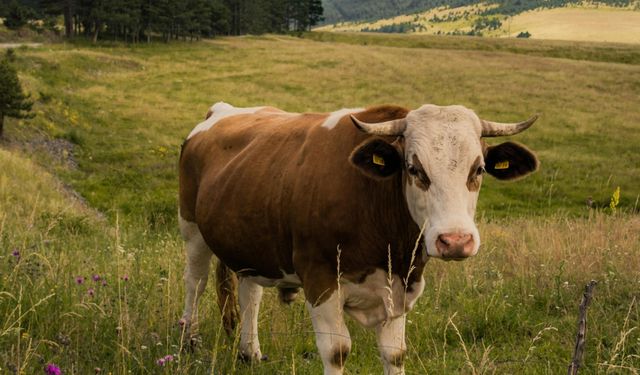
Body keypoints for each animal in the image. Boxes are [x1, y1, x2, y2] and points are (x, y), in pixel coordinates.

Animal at [178, 101, 536, 374]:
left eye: (478, 169)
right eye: (414, 169)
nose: (456, 240)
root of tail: (223, 111)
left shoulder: (399, 287)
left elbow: (395, 353)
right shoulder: (321, 280)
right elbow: (336, 350)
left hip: (251, 241)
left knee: (250, 293)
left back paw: (249, 352)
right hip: (192, 229)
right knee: (195, 282)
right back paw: (189, 341)